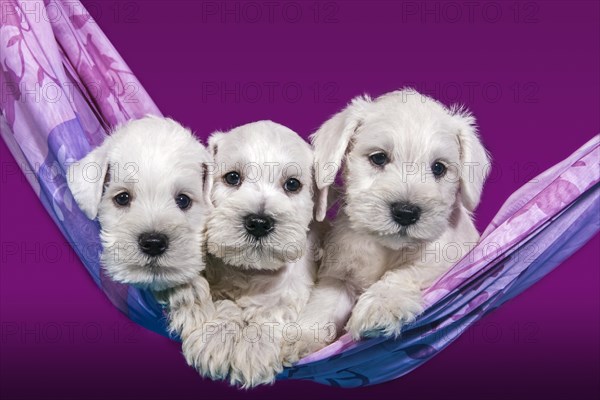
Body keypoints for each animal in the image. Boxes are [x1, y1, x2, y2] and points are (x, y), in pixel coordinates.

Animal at [184, 119, 318, 388]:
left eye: (292, 184)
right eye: (232, 177)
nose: (258, 222)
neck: (252, 271)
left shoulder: (293, 293)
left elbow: (273, 313)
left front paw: (255, 350)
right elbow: (225, 304)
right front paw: (215, 339)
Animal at [288, 89, 492, 360]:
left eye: (438, 168)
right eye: (379, 158)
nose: (406, 212)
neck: (385, 247)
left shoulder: (447, 258)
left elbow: (406, 272)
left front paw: (381, 305)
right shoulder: (340, 274)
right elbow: (324, 303)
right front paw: (301, 337)